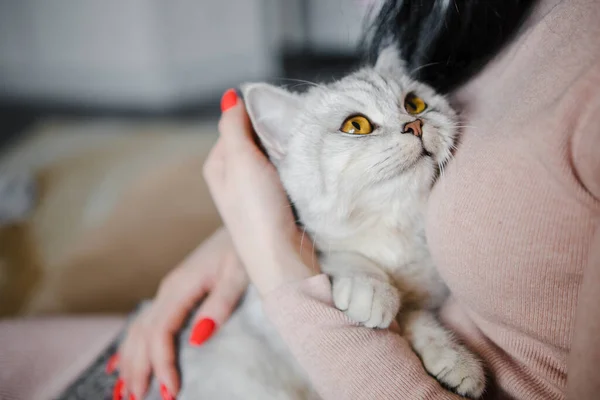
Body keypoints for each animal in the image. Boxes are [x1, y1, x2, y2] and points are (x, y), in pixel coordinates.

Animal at [139, 47, 482, 400]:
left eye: (414, 104)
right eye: (356, 125)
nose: (415, 123)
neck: (392, 230)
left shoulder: (423, 298)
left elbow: (421, 320)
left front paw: (456, 360)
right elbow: (343, 257)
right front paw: (370, 290)